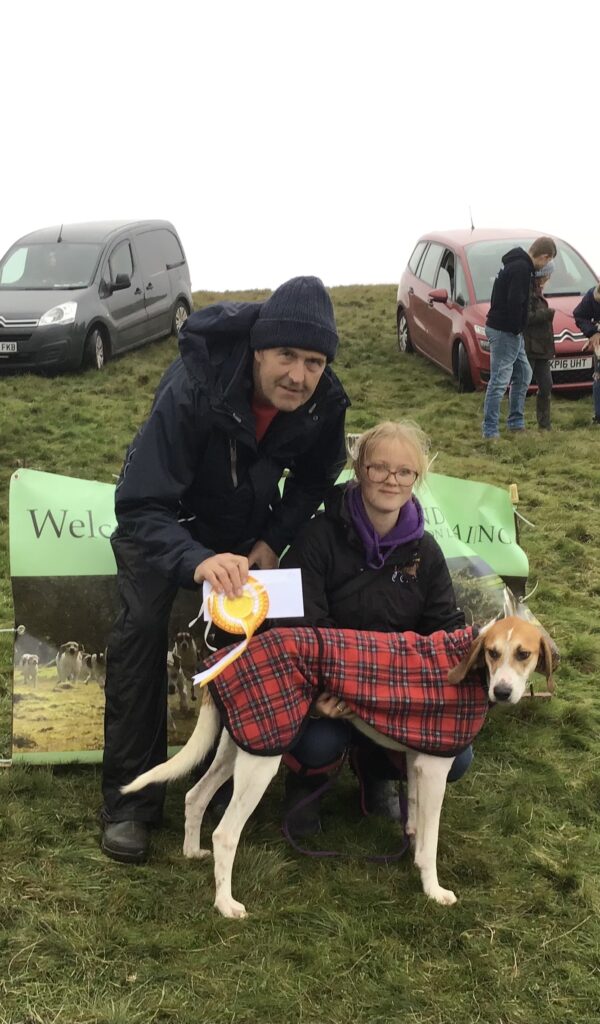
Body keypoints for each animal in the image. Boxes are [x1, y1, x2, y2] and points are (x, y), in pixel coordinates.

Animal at [123, 610, 556, 919]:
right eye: (493, 653)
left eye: (524, 654)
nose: (503, 691)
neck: (466, 664)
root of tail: (226, 661)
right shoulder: (435, 768)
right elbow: (431, 839)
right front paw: (433, 889)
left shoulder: (418, 760)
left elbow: (417, 821)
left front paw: (412, 853)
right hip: (261, 762)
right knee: (226, 834)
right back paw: (225, 903)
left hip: (245, 743)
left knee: (195, 797)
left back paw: (192, 852)